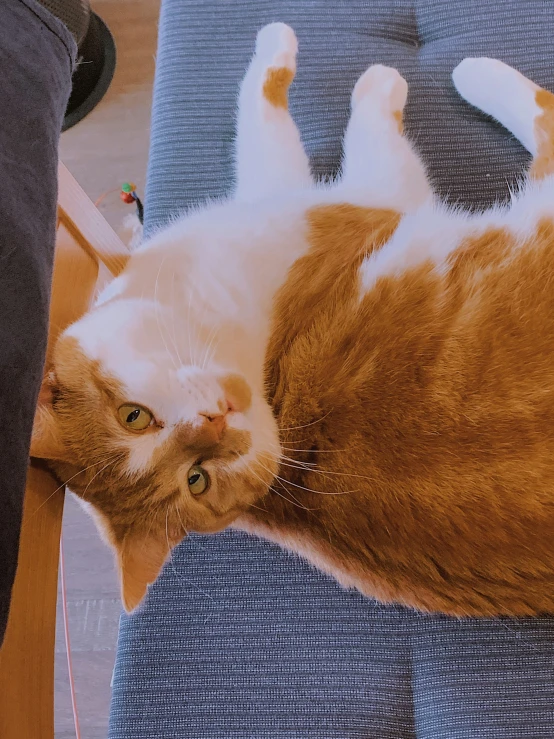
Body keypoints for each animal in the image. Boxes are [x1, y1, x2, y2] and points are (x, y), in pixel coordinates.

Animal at [32, 23, 552, 616]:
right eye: (197, 478)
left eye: (132, 417)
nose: (214, 423)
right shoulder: (369, 198)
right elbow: (277, 118)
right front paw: (351, 72)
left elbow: (257, 127)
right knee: (546, 119)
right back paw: (471, 72)